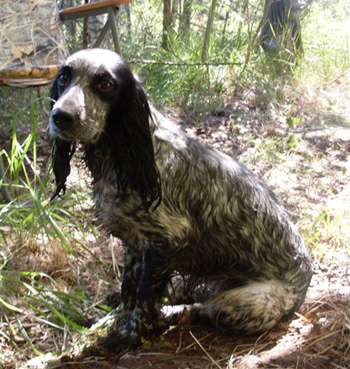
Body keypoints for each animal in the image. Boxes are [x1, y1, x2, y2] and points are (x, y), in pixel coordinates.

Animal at [48, 49, 312, 350]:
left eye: (105, 84)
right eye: (64, 77)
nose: (60, 116)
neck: (125, 155)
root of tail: (307, 274)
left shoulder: (167, 241)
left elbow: (144, 296)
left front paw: (131, 333)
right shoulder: (135, 244)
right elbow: (129, 289)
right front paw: (113, 318)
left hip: (247, 304)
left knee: (202, 308)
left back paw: (167, 314)